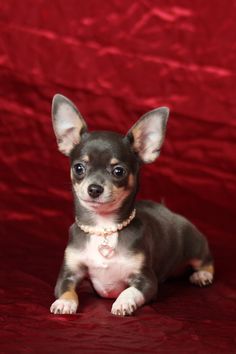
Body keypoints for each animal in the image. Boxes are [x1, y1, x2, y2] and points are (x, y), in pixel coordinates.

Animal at [49, 94, 214, 318]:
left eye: (118, 171)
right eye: (79, 168)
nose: (94, 189)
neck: (104, 228)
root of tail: (168, 210)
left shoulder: (147, 281)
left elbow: (130, 290)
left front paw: (123, 302)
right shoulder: (69, 273)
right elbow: (66, 289)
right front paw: (65, 302)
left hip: (194, 246)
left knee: (206, 260)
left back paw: (202, 275)